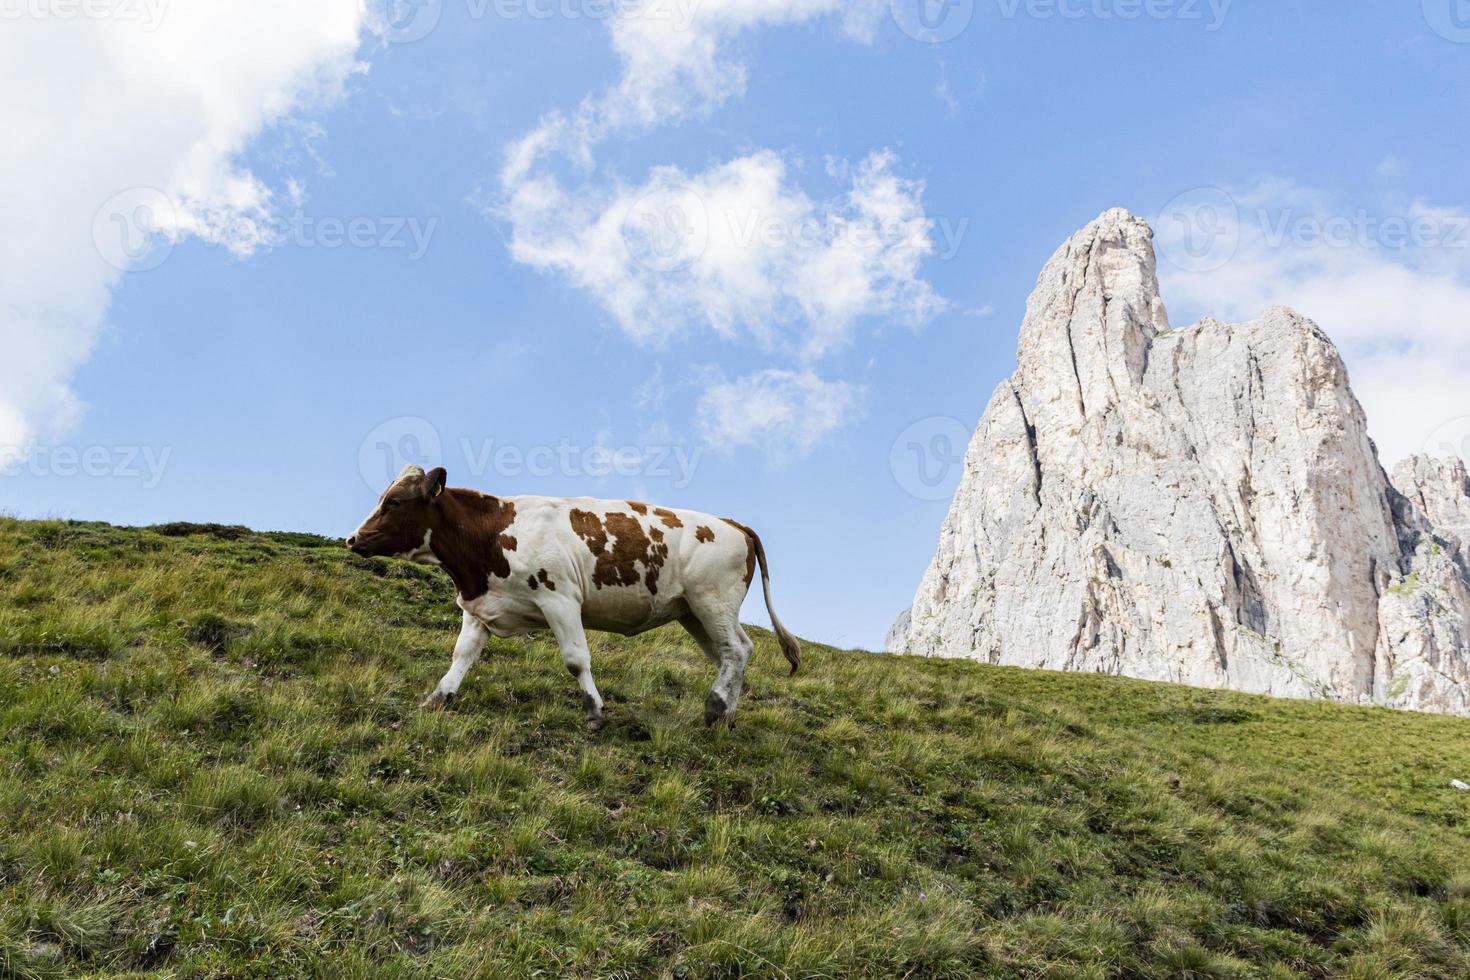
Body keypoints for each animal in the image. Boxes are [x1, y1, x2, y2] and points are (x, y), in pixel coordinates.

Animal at [345, 467, 799, 728]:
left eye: (395, 501)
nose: (353, 538)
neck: (492, 535)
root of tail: (732, 523)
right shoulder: (480, 606)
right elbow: (462, 656)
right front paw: (437, 699)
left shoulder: (560, 598)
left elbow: (575, 659)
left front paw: (594, 711)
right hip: (693, 611)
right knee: (732, 653)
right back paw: (725, 715)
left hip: (712, 600)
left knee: (736, 649)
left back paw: (716, 708)